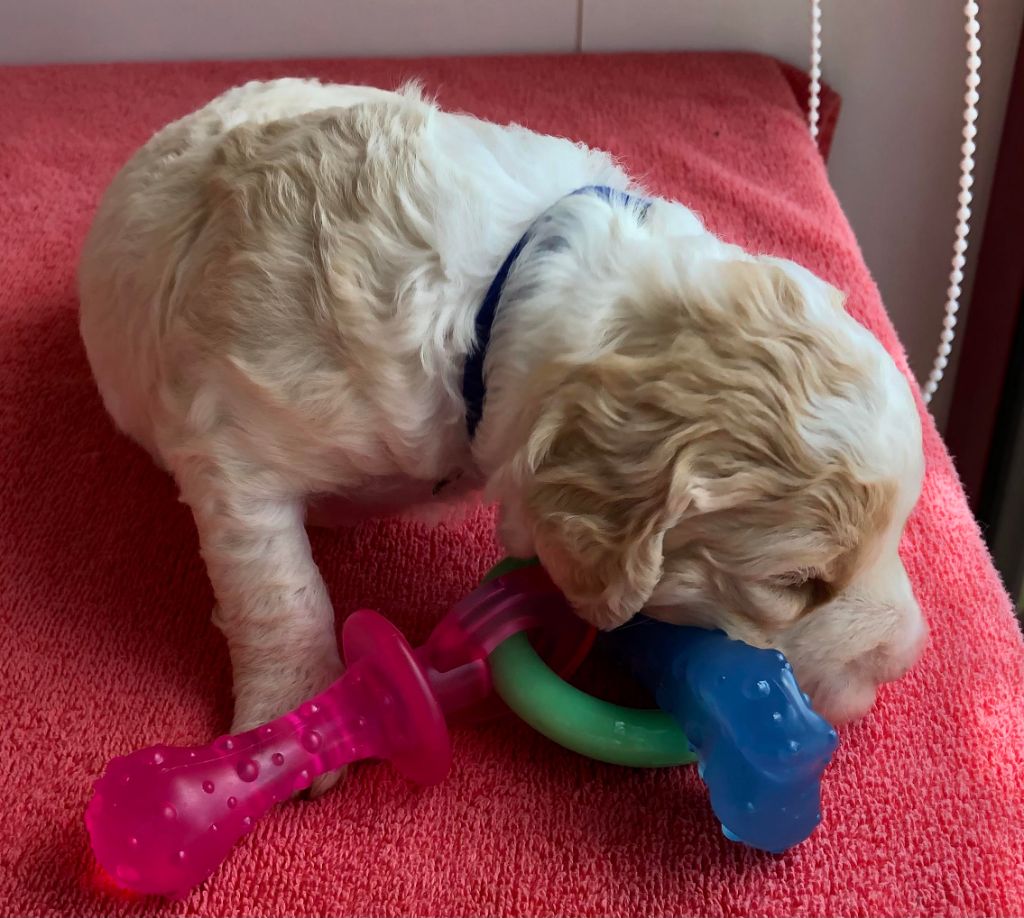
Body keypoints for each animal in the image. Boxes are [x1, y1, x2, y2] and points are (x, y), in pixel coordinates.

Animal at [79, 79, 926, 793]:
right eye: (794, 582)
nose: (904, 662)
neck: (503, 289)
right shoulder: (232, 436)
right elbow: (278, 589)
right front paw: (292, 712)